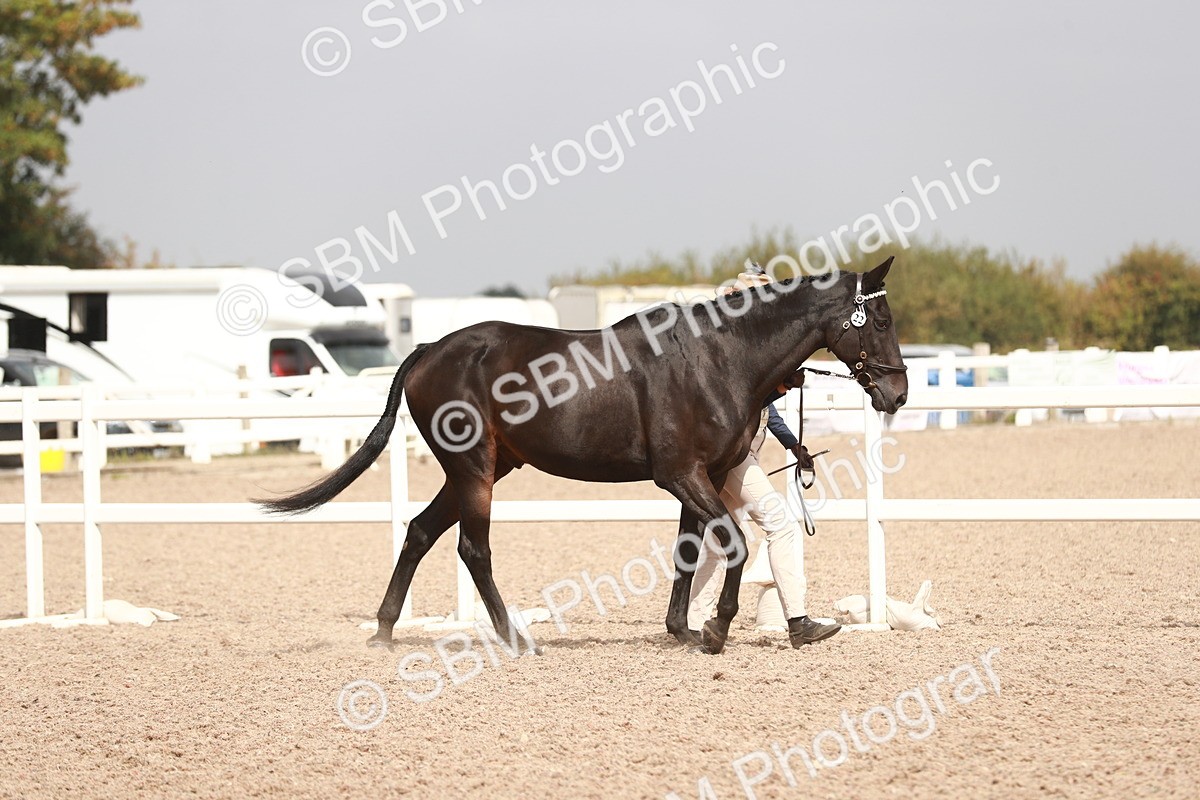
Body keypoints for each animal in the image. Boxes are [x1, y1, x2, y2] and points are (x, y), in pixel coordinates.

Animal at [257, 257, 908, 654]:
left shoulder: (708, 475)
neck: (720, 357)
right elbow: (737, 546)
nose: (897, 393)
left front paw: (684, 630)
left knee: (419, 532)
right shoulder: (680, 475)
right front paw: (717, 630)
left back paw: (385, 632)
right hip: (473, 469)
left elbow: (689, 553)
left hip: (482, 468)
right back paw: (515, 638)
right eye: (878, 318)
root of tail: (429, 349)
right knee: (471, 548)